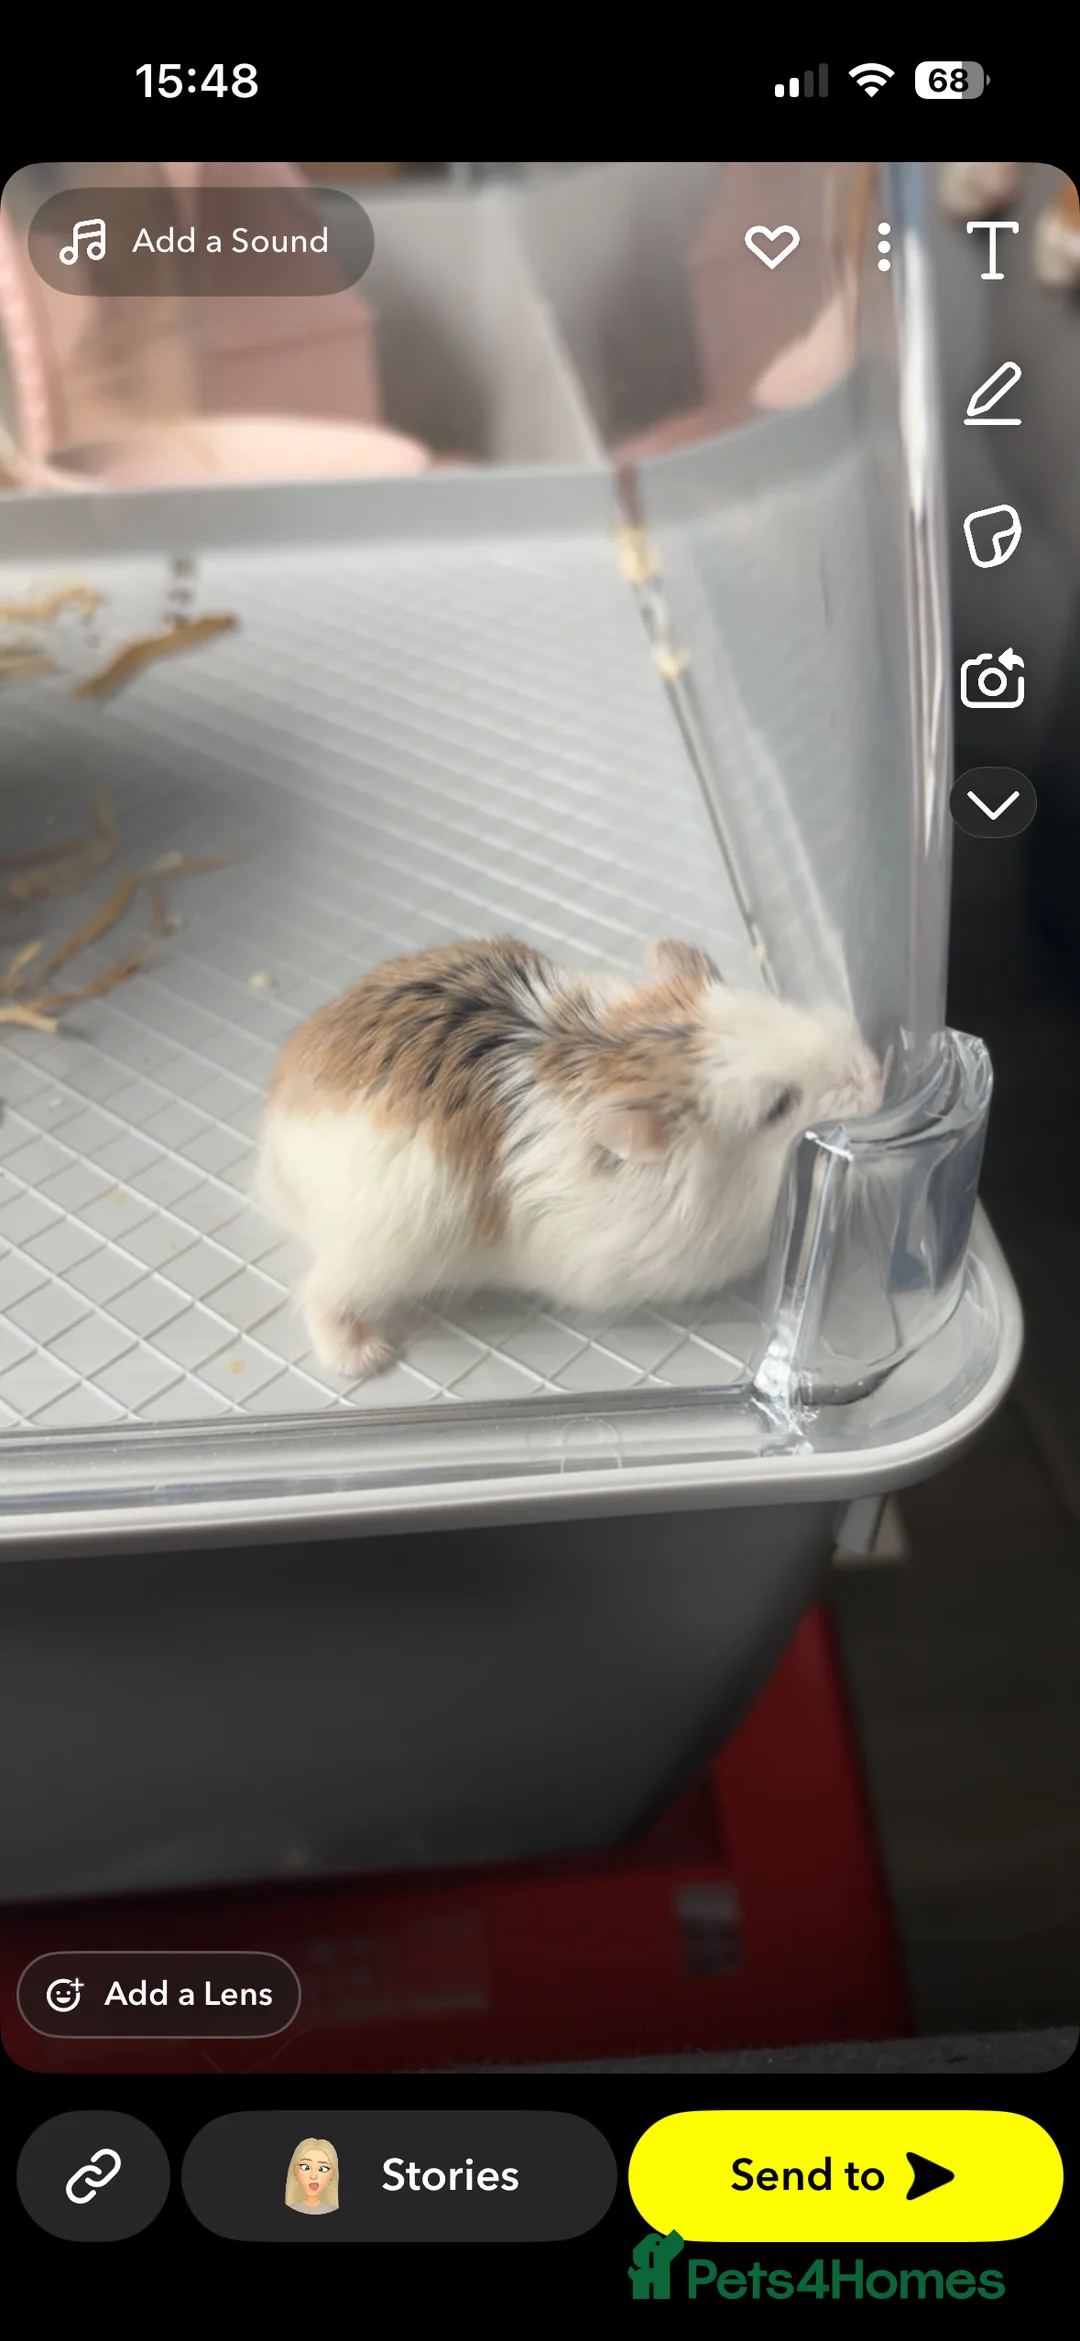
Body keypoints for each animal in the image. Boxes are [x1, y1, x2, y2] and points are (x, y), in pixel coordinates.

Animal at [258, 937, 883, 1380]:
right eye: (779, 1106)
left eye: (777, 1007)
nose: (876, 1073)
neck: (643, 1055)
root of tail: (278, 1150)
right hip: (381, 1254)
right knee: (319, 1294)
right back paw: (367, 1355)